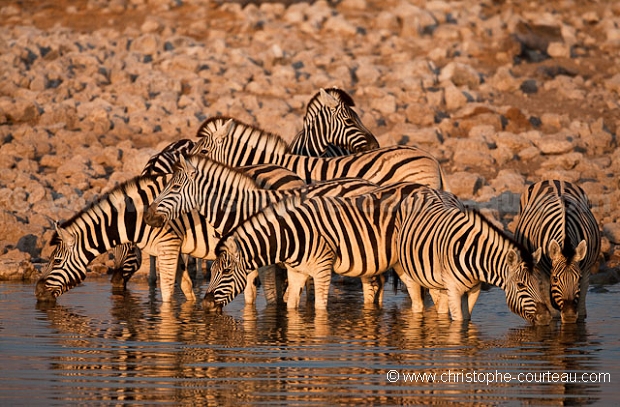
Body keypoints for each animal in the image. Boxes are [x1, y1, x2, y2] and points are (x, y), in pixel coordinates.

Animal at [145, 155, 386, 306]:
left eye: (175, 187)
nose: (148, 215)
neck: (242, 210)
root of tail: (372, 185)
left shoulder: (262, 260)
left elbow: (262, 295)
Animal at [205, 184, 552, 326]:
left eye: (224, 272)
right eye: (209, 272)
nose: (206, 304)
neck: (294, 234)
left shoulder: (321, 268)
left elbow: (319, 308)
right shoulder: (297, 270)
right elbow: (291, 304)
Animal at [512, 180, 600, 324]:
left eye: (579, 278)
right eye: (555, 278)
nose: (569, 316)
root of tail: (555, 180)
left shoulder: (586, 270)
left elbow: (582, 307)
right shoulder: (543, 272)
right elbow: (552, 311)